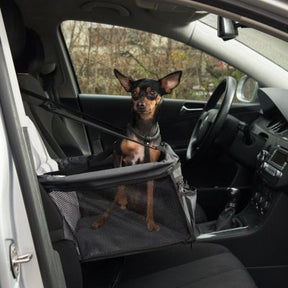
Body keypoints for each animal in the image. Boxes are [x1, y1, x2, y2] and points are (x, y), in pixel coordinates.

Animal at [92, 70, 182, 232]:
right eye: (134, 93)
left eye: (152, 93)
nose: (140, 104)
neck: (144, 132)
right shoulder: (117, 154)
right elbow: (120, 185)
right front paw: (120, 200)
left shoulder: (152, 167)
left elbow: (150, 199)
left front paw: (151, 221)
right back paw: (103, 218)